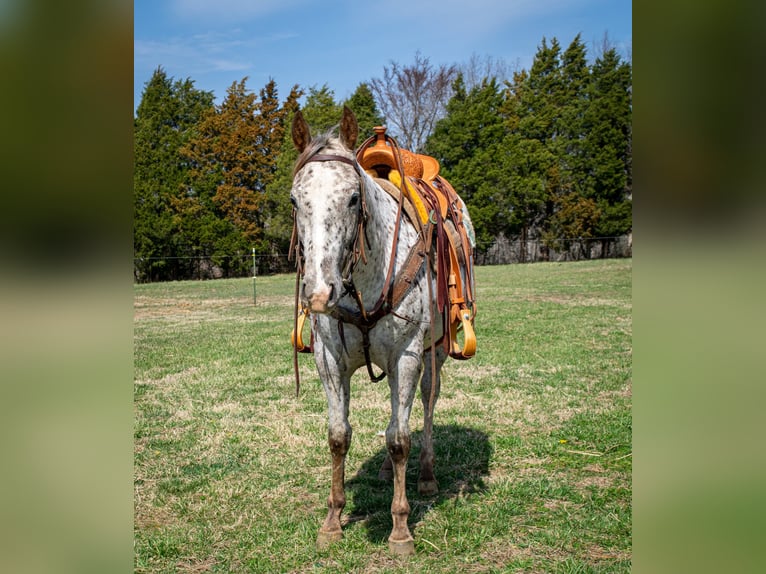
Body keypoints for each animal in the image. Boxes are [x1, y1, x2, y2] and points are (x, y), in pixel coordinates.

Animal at [289, 107, 471, 555]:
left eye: (353, 198)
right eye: (295, 201)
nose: (319, 292)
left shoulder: (407, 356)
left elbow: (400, 437)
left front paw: (400, 528)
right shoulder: (329, 361)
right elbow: (339, 436)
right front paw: (333, 521)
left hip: (433, 353)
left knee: (425, 405)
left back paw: (425, 475)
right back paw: (389, 470)